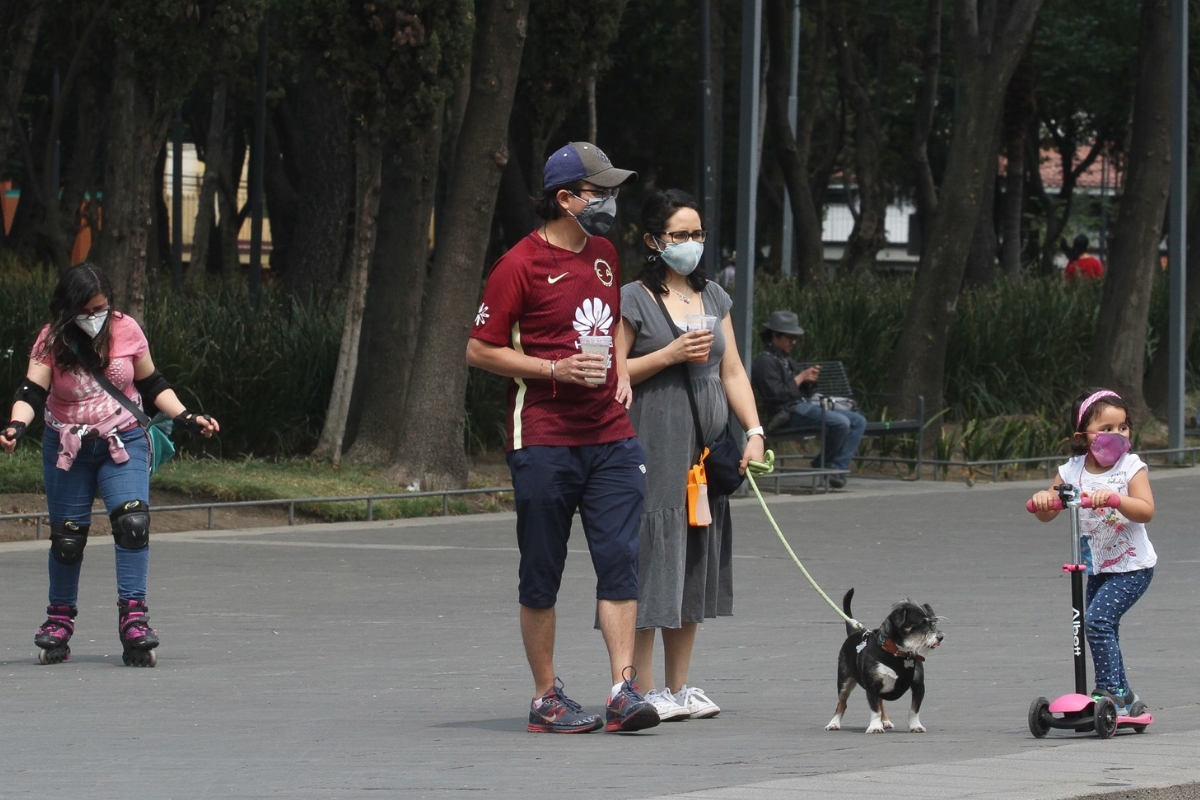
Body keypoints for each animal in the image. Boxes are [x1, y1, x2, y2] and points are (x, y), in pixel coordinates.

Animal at [830, 585, 940, 734]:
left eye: (933, 624)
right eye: (920, 624)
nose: (940, 637)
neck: (898, 654)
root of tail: (855, 633)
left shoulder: (918, 686)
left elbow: (914, 709)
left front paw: (915, 726)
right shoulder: (872, 687)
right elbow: (874, 710)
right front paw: (875, 727)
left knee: (881, 703)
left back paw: (886, 721)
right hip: (844, 681)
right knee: (842, 703)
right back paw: (834, 723)